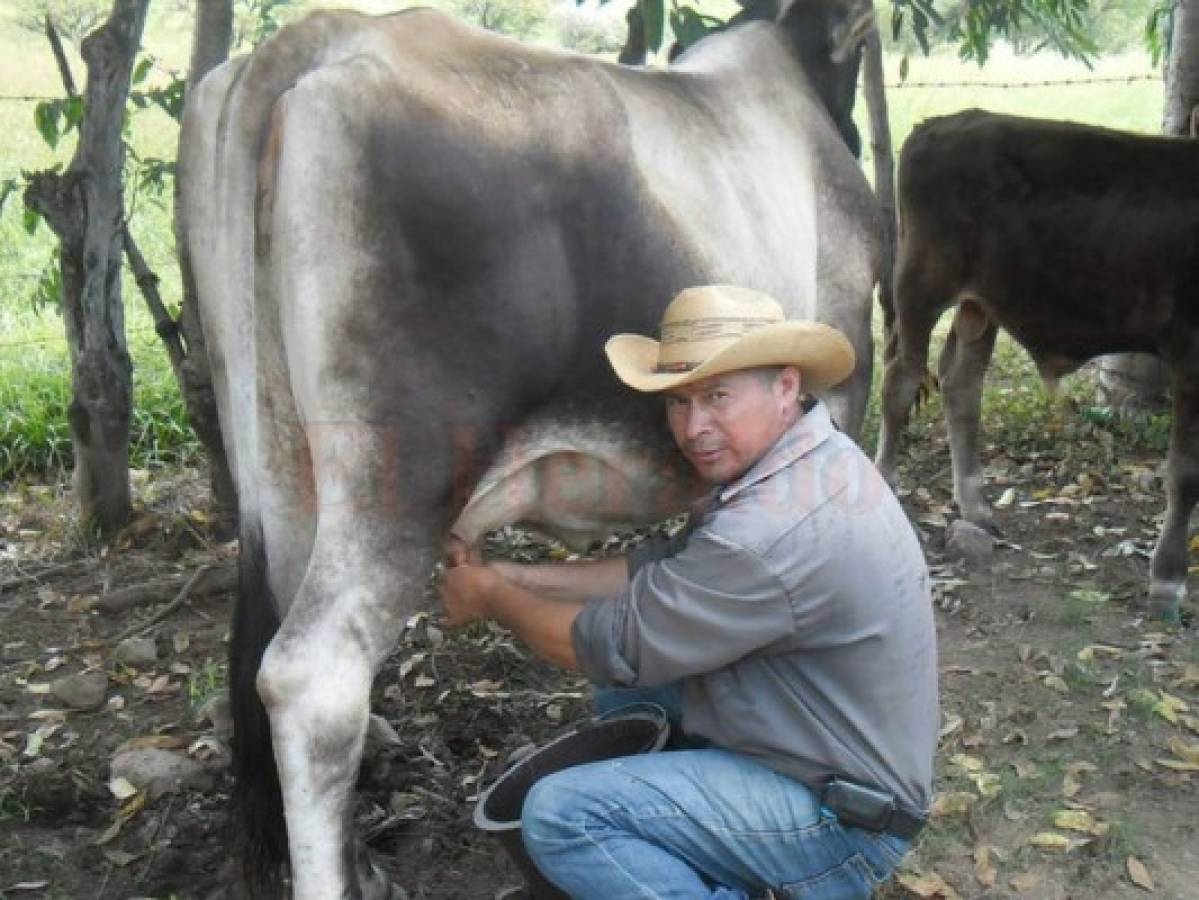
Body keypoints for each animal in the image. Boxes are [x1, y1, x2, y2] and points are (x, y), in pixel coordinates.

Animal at [175, 3, 882, 896]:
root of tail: (322, 38)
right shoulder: (845, 375)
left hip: (280, 475)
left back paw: (363, 860)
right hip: (396, 477)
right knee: (311, 681)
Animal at [872, 105, 1199, 627]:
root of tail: (943, 122)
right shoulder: (1189, 352)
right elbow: (1186, 473)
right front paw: (1168, 580)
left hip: (980, 303)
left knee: (961, 384)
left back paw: (976, 506)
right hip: (921, 282)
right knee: (900, 383)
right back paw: (887, 481)